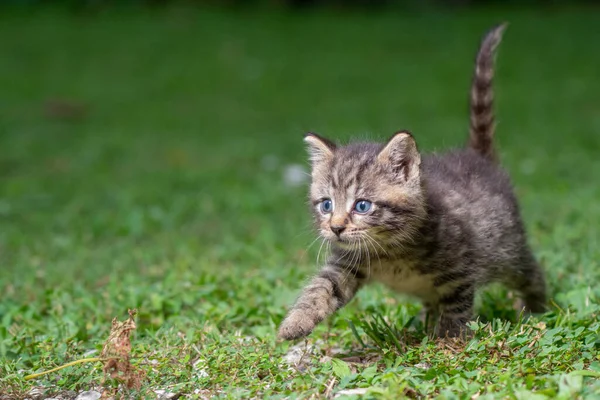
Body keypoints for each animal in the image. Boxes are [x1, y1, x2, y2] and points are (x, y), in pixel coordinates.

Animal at [278, 23, 548, 340]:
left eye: (362, 206)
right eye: (326, 205)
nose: (336, 228)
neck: (389, 249)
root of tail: (477, 157)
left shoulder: (460, 267)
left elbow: (456, 307)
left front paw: (449, 340)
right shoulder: (346, 263)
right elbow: (322, 288)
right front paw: (295, 322)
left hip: (508, 251)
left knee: (531, 274)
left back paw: (537, 309)